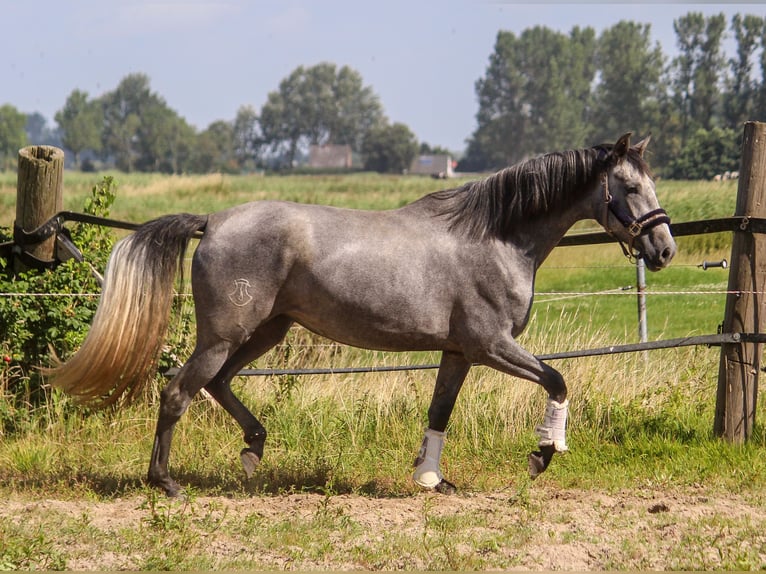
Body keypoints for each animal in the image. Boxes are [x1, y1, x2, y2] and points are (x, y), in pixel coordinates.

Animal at [48, 133, 676, 498]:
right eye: (627, 186)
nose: (664, 249)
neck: (496, 238)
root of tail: (214, 220)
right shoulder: (491, 345)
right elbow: (558, 379)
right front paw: (543, 455)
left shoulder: (458, 351)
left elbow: (440, 410)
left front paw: (431, 478)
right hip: (226, 333)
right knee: (179, 391)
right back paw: (167, 483)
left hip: (268, 330)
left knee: (219, 384)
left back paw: (254, 448)